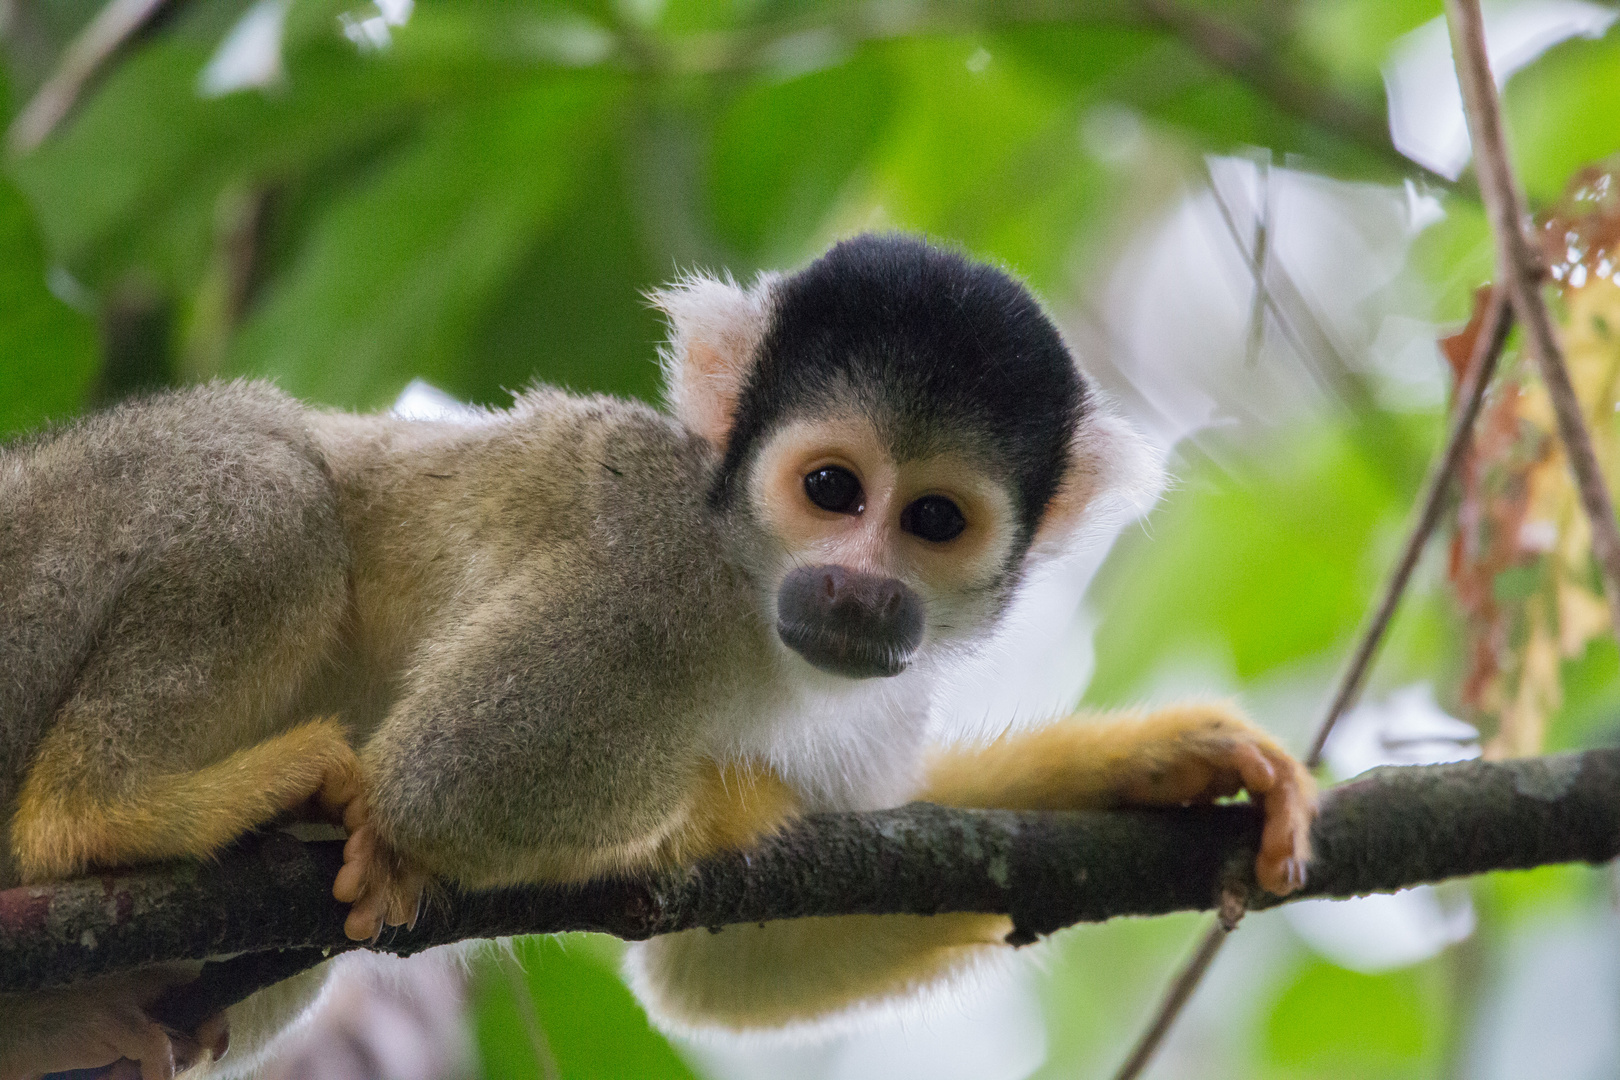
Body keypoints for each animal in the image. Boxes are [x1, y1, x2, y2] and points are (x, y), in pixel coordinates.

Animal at [0, 234, 1315, 1075]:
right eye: (832, 491)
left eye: (934, 519)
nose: (858, 587)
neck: (749, 601)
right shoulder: (648, 571)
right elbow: (444, 777)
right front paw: (730, 804)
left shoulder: (877, 701)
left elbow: (728, 967)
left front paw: (1157, 765)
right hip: (33, 578)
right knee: (269, 475)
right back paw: (103, 811)